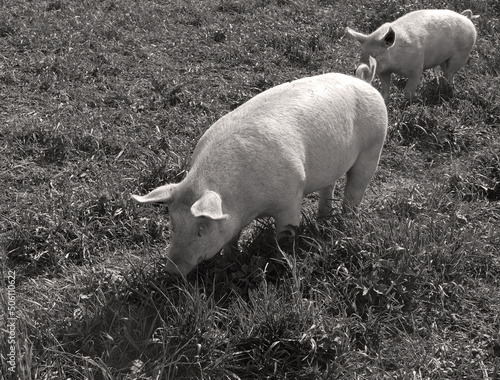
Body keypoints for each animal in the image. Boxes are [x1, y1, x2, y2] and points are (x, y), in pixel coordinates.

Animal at [132, 73, 386, 276]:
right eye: (173, 225)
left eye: (201, 229)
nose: (171, 271)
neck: (246, 205)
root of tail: (364, 82)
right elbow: (230, 240)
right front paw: (229, 262)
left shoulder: (291, 197)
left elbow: (285, 233)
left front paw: (282, 259)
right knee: (329, 187)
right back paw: (323, 218)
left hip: (373, 146)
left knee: (354, 193)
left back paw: (345, 223)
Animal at [346, 9, 478, 102]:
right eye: (362, 52)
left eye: (377, 54)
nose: (357, 70)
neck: (394, 65)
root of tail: (466, 18)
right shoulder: (384, 71)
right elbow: (385, 91)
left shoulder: (417, 68)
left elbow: (408, 91)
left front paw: (417, 99)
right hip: (444, 58)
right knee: (447, 72)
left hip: (462, 53)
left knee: (451, 72)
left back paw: (444, 89)